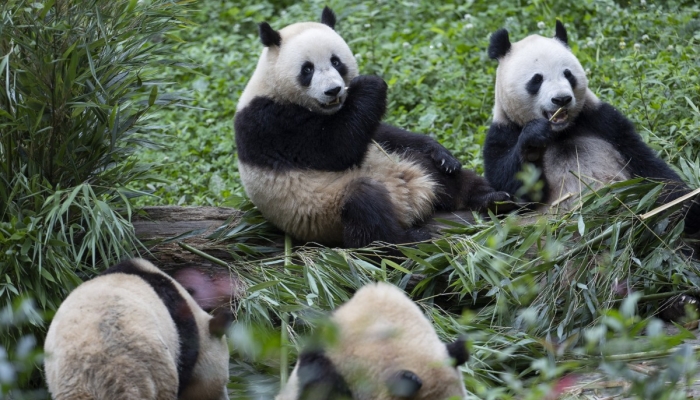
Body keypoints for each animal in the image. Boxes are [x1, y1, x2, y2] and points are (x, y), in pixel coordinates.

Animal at [235, 7, 508, 248]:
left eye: (336, 62)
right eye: (307, 69)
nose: (333, 90)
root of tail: (411, 205)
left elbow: (376, 131)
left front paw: (440, 152)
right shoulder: (271, 122)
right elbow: (334, 150)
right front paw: (370, 83)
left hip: (404, 163)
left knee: (437, 172)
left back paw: (491, 198)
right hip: (326, 211)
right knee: (365, 209)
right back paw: (408, 238)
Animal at [482, 21, 700, 234]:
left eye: (568, 74)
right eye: (537, 79)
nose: (562, 99)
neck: (560, 132)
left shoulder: (602, 121)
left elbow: (645, 163)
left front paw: (687, 205)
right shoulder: (503, 131)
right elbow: (511, 184)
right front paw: (533, 143)